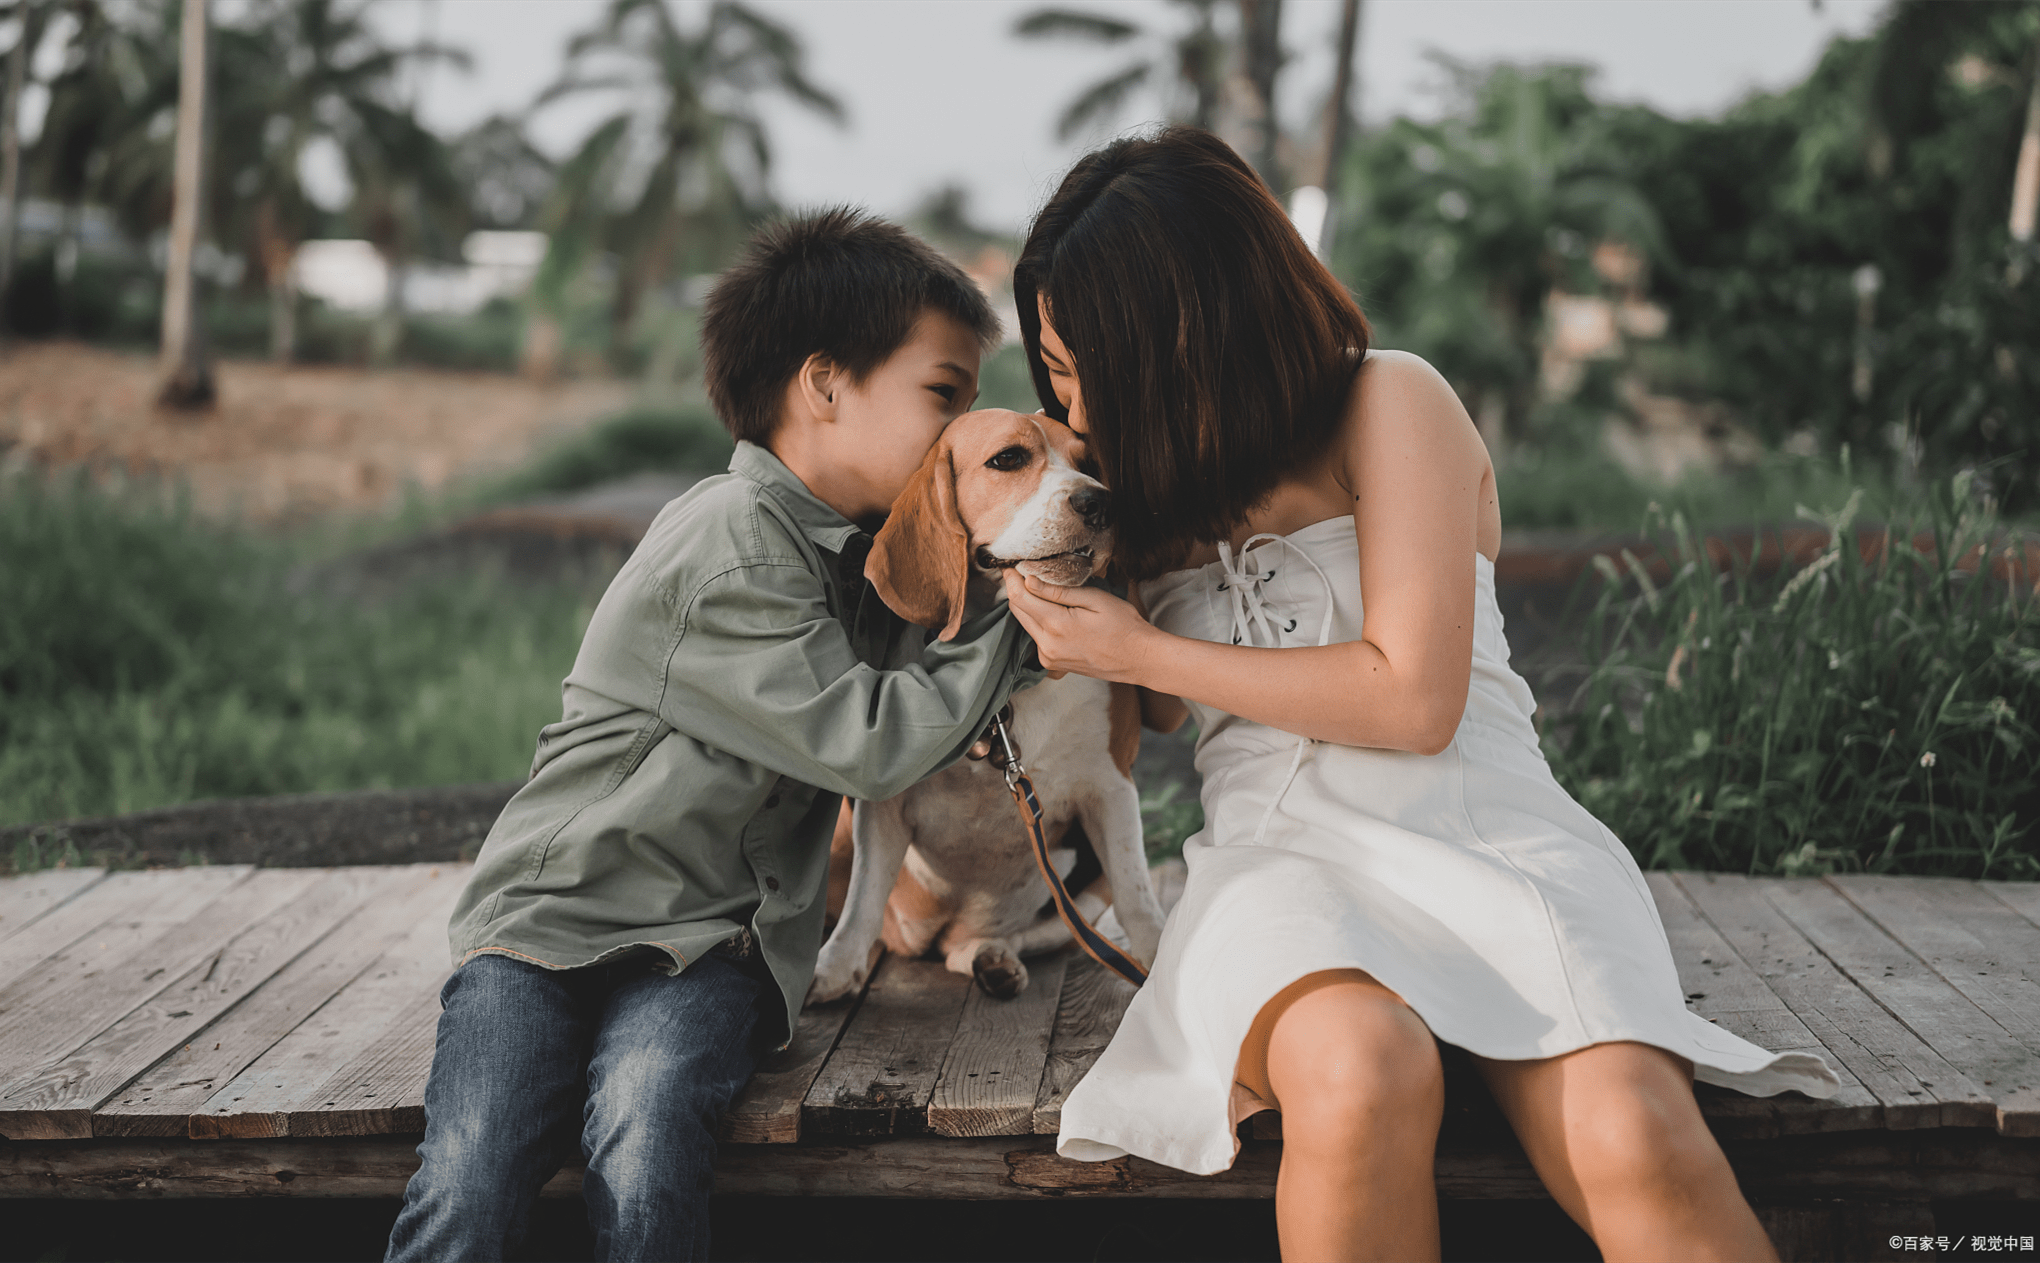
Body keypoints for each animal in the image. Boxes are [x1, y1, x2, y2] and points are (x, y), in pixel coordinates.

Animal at [807, 410, 1175, 1003]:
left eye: (1090, 463)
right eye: (1008, 459)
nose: (1101, 503)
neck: (1008, 684)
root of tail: (930, 936)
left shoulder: (1110, 789)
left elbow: (1138, 896)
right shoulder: (881, 806)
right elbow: (861, 902)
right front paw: (834, 971)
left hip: (1085, 887)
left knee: (1028, 935)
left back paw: (991, 957)